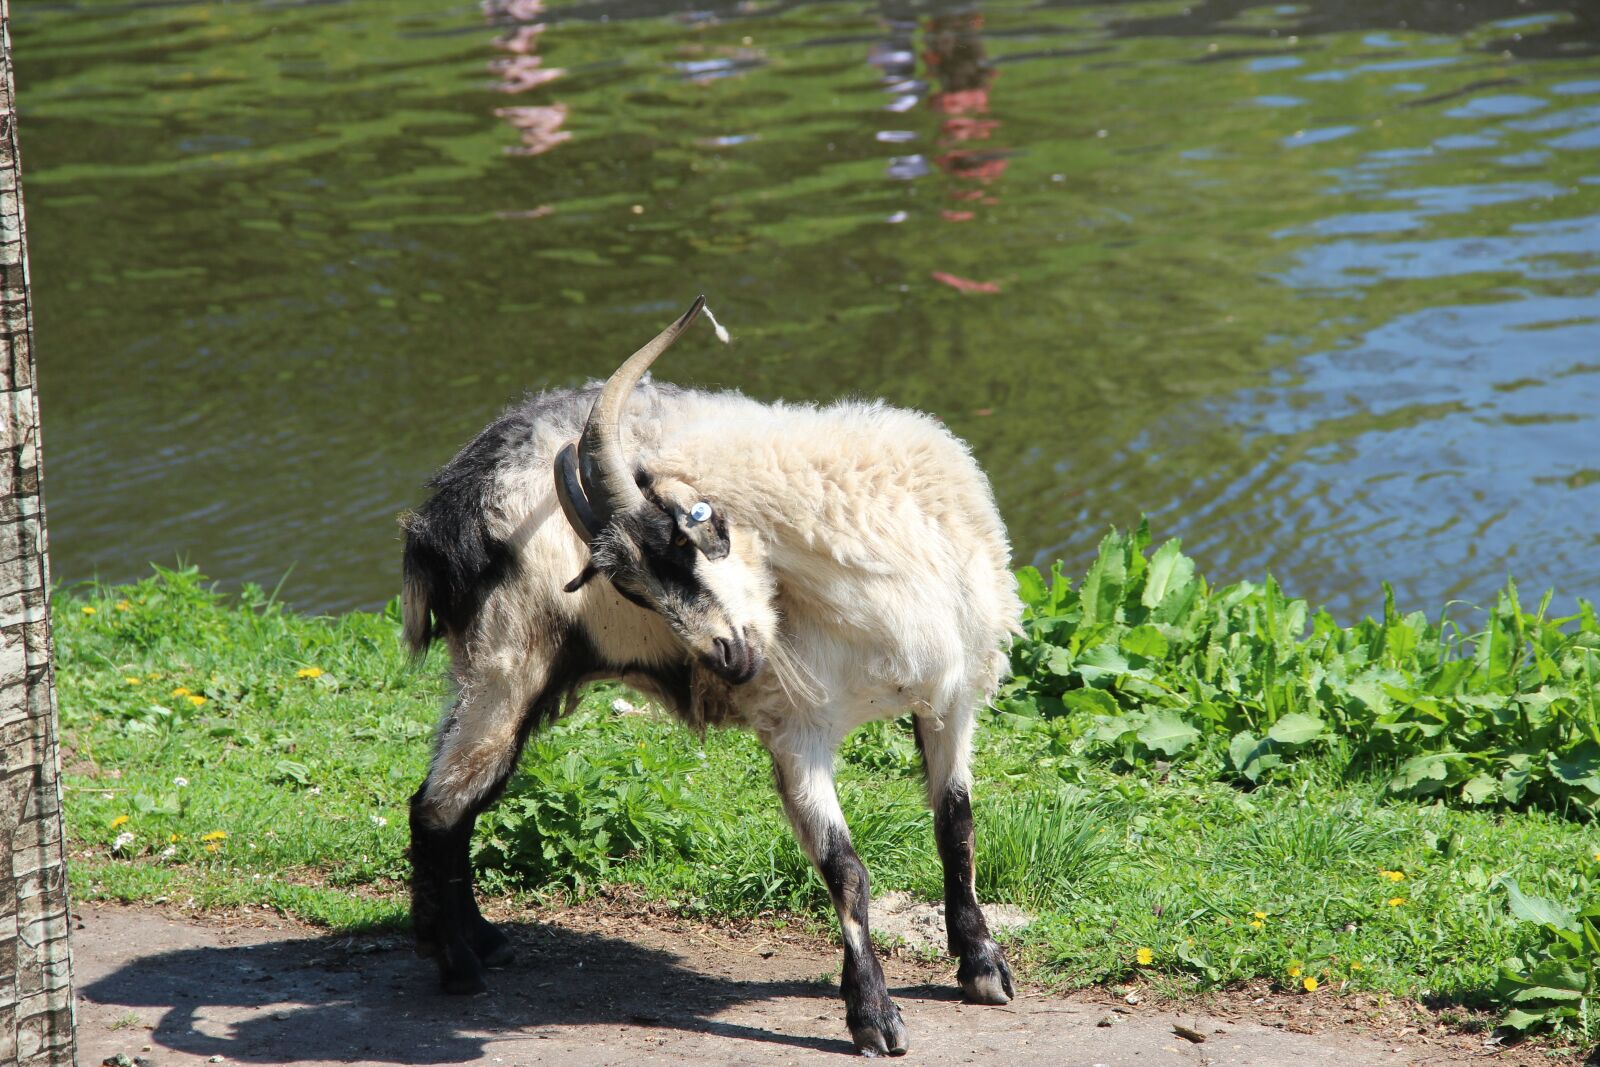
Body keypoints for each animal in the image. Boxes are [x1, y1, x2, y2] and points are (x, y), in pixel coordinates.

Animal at [400, 297, 1021, 1055]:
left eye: (688, 540)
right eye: (630, 588)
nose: (726, 658)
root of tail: (445, 511)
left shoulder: (951, 697)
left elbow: (956, 826)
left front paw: (982, 967)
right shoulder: (797, 726)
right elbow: (845, 868)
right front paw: (873, 1017)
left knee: (454, 803)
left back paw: (479, 942)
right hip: (505, 661)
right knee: (438, 805)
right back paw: (458, 964)